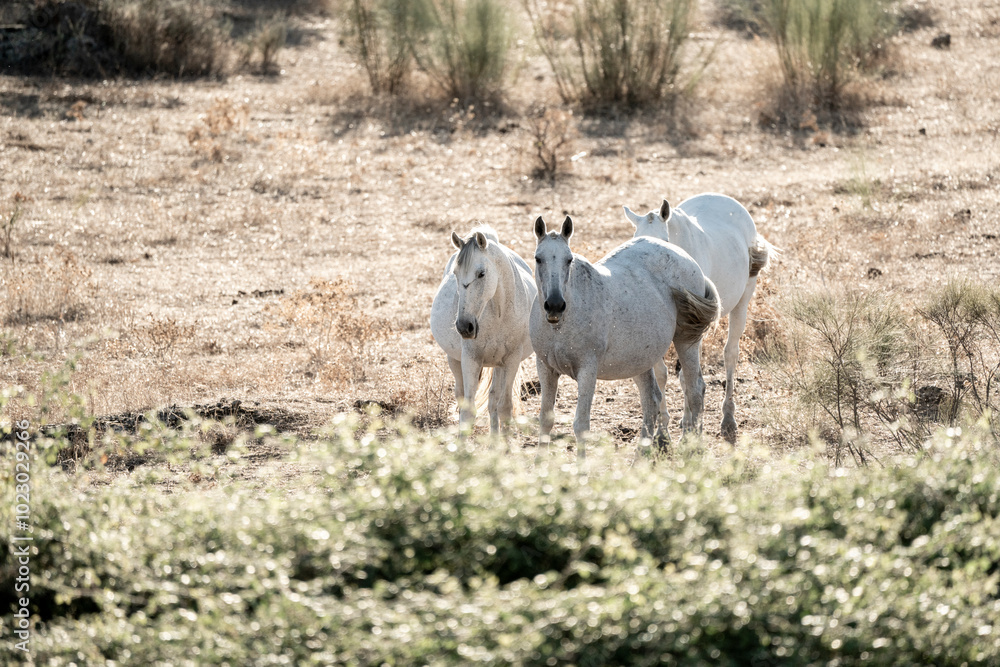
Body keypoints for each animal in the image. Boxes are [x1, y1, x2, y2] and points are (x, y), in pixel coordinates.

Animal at [430, 225, 536, 434]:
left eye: (481, 274)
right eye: (455, 274)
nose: (464, 327)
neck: (498, 315)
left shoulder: (511, 361)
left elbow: (504, 407)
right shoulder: (471, 360)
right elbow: (467, 411)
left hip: (499, 366)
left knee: (494, 400)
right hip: (455, 360)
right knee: (462, 396)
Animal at [530, 215, 721, 460]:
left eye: (569, 260)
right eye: (538, 259)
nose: (554, 305)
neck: (561, 324)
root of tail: (687, 259)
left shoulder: (587, 370)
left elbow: (580, 425)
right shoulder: (545, 367)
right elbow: (545, 420)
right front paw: (539, 465)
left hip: (686, 341)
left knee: (695, 389)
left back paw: (693, 450)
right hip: (640, 360)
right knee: (652, 401)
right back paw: (640, 458)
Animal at [623, 193, 774, 442]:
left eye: (665, 239)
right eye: (636, 238)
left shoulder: (693, 327)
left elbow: (687, 377)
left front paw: (689, 429)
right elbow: (661, 374)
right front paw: (663, 432)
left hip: (742, 301)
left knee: (730, 354)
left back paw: (727, 418)